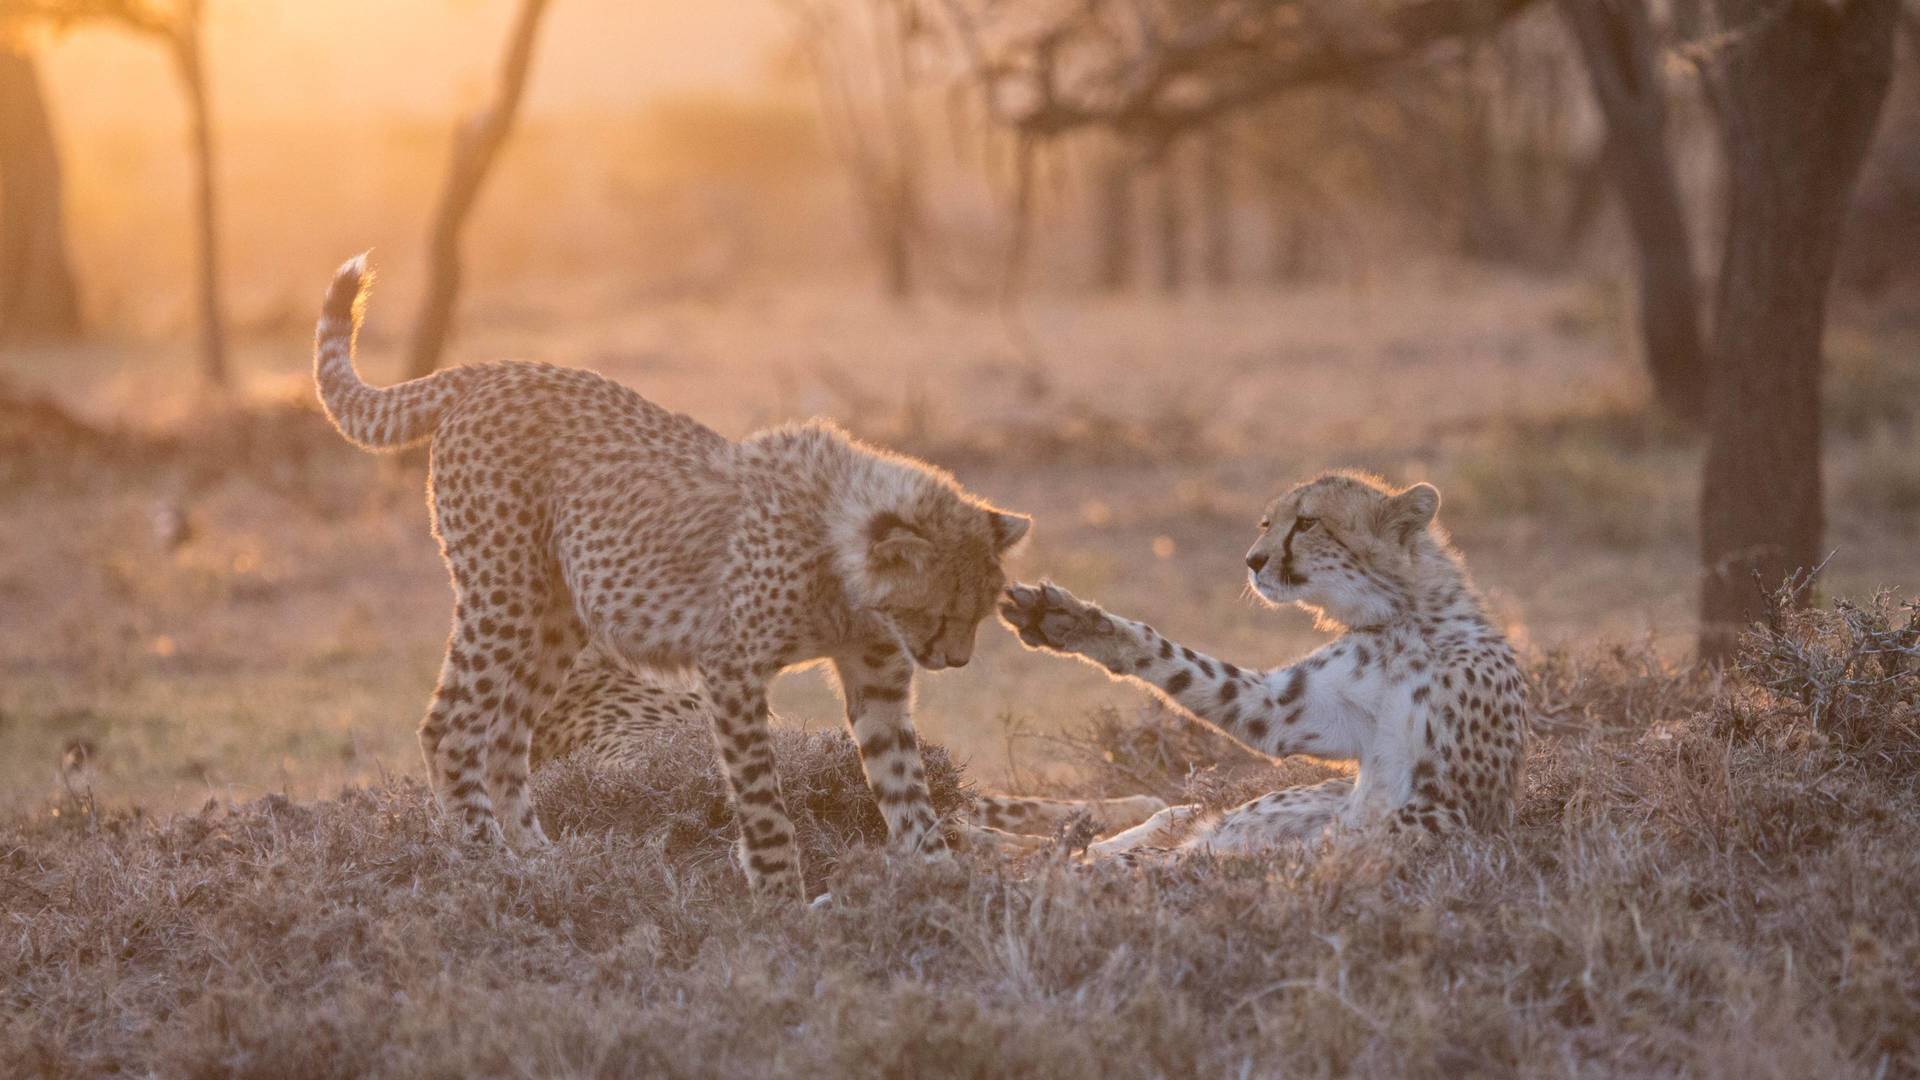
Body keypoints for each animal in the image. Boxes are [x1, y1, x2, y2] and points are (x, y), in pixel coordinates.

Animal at [314, 255, 1036, 895]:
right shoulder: (731, 668)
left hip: (557, 618)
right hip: (504, 595)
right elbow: (762, 800)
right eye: (938, 612)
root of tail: (488, 369)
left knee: (504, 738)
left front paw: (944, 886)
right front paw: (784, 899)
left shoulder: (877, 677)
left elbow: (905, 787)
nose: (955, 660)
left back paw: (542, 859)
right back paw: (488, 861)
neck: (845, 559)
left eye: (980, 613)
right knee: (451, 728)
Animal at [998, 470, 1520, 857]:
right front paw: (1068, 620)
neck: (1403, 623)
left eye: (1307, 523)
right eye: (1267, 524)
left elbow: (1339, 845)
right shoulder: (1283, 710)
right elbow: (1180, 663)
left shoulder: (1445, 808)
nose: (1252, 561)